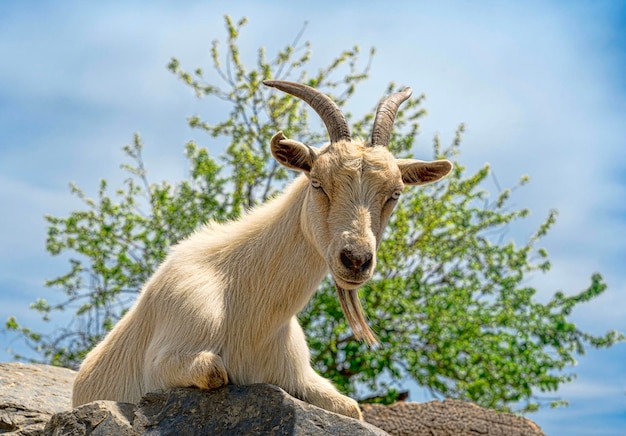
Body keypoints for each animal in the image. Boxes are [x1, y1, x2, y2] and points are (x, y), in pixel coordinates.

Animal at [73, 79, 450, 418]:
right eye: (317, 182)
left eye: (395, 194)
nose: (356, 259)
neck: (252, 314)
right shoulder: (164, 360)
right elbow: (215, 371)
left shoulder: (298, 375)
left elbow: (352, 408)